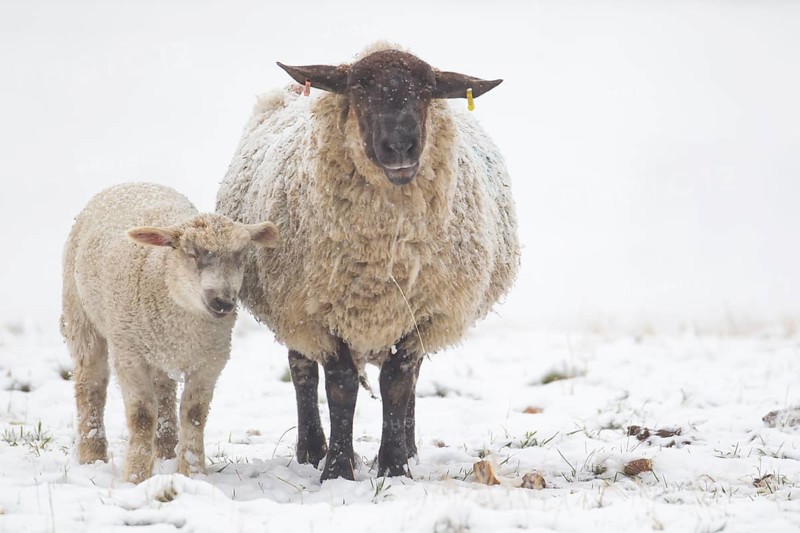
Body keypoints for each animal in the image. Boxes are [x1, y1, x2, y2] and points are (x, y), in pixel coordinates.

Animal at [60, 182, 280, 483]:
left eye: (242, 256)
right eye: (192, 253)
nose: (223, 302)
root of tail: (133, 183)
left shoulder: (211, 361)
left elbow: (194, 414)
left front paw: (193, 472)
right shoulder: (130, 356)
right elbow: (142, 417)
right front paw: (136, 477)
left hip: (159, 350)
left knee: (164, 391)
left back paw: (166, 450)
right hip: (81, 316)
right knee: (90, 384)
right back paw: (92, 454)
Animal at [216, 42, 520, 480]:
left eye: (426, 90)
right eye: (358, 89)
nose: (401, 146)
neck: (381, 258)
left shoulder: (424, 312)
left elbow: (398, 382)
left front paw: (394, 465)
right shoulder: (319, 312)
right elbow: (340, 386)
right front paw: (338, 470)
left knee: (410, 378)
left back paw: (408, 448)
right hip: (292, 312)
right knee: (302, 371)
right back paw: (312, 451)